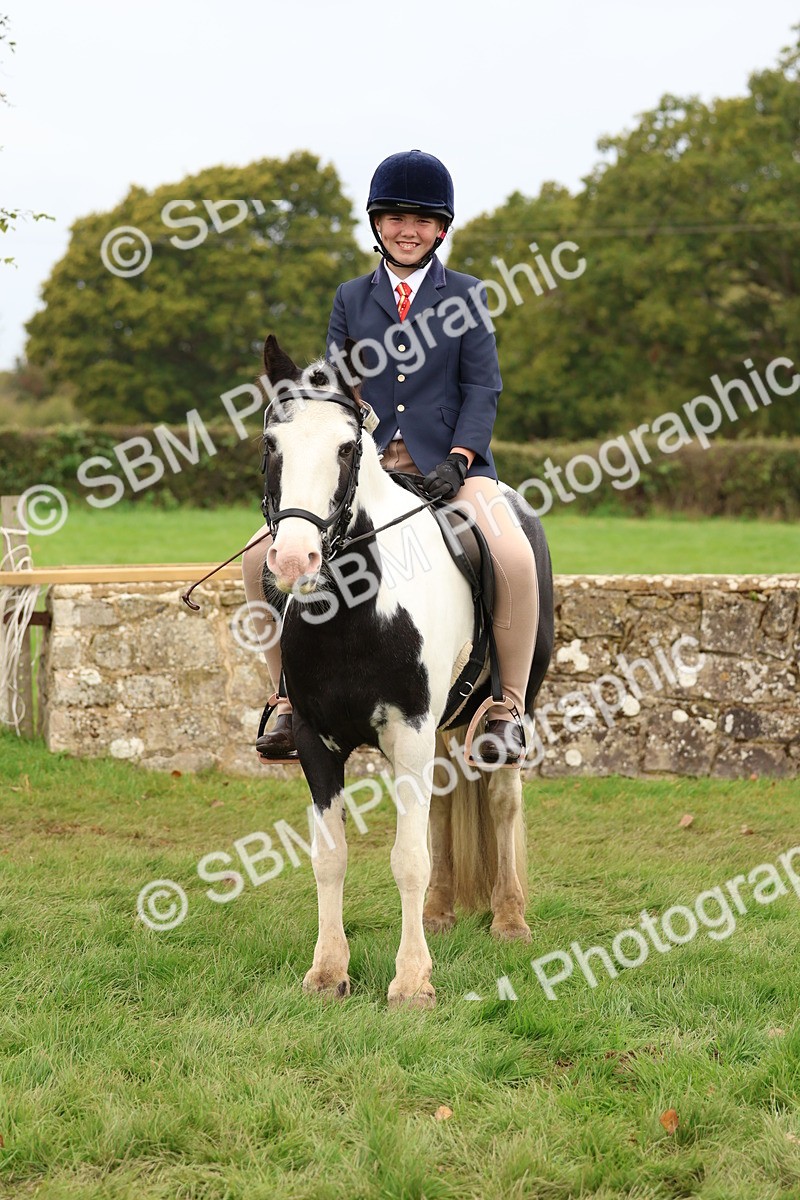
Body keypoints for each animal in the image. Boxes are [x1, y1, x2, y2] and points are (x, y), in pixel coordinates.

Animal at [256, 334, 554, 1008]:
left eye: (346, 449)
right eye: (271, 445)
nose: (292, 560)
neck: (353, 610)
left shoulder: (409, 733)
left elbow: (407, 858)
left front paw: (412, 981)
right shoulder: (315, 740)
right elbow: (330, 856)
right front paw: (328, 972)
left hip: (506, 708)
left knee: (502, 800)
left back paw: (510, 919)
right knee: (444, 804)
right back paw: (440, 912)